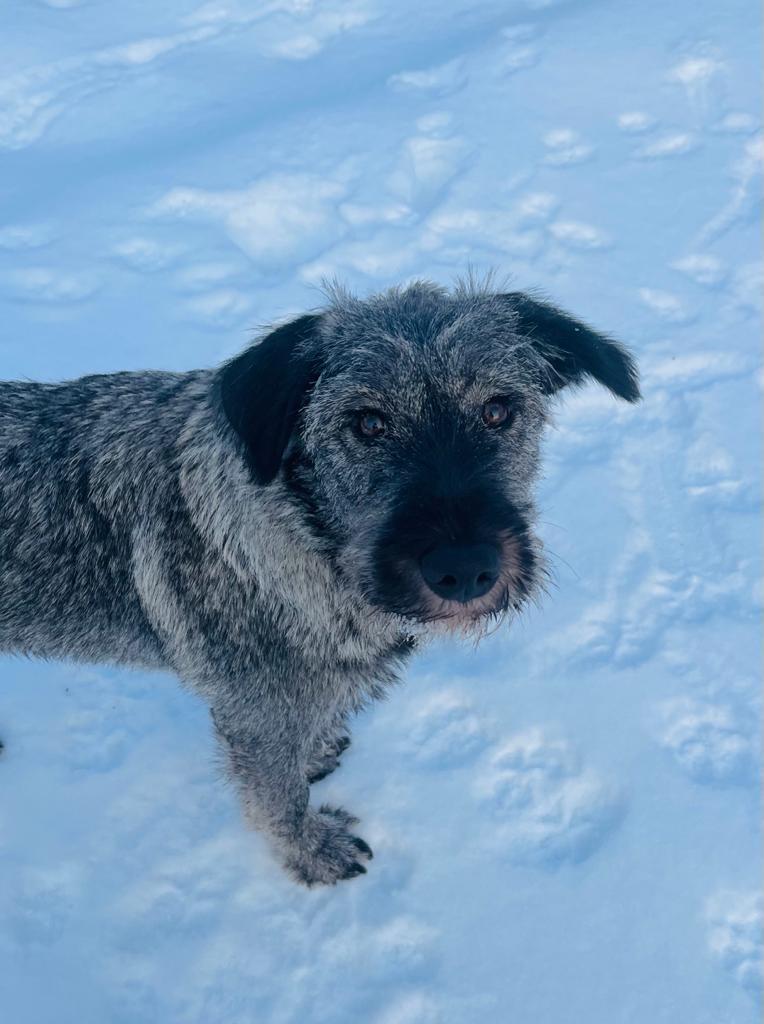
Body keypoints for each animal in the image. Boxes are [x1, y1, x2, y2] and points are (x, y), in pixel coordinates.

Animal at [0, 280, 640, 885]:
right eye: (368, 422)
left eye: (498, 409)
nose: (464, 568)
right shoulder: (258, 722)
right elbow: (277, 802)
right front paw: (312, 854)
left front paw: (318, 755)